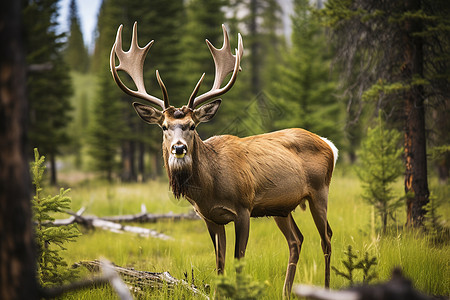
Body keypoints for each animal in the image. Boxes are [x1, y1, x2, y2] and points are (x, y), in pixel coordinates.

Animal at [110, 22, 338, 298]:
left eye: (192, 125)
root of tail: (329, 144)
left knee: (326, 237)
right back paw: (286, 291)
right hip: (281, 207)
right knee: (296, 240)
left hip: (319, 190)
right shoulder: (210, 217)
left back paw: (326, 287)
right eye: (164, 126)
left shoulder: (244, 208)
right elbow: (219, 264)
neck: (209, 188)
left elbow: (239, 260)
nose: (179, 148)